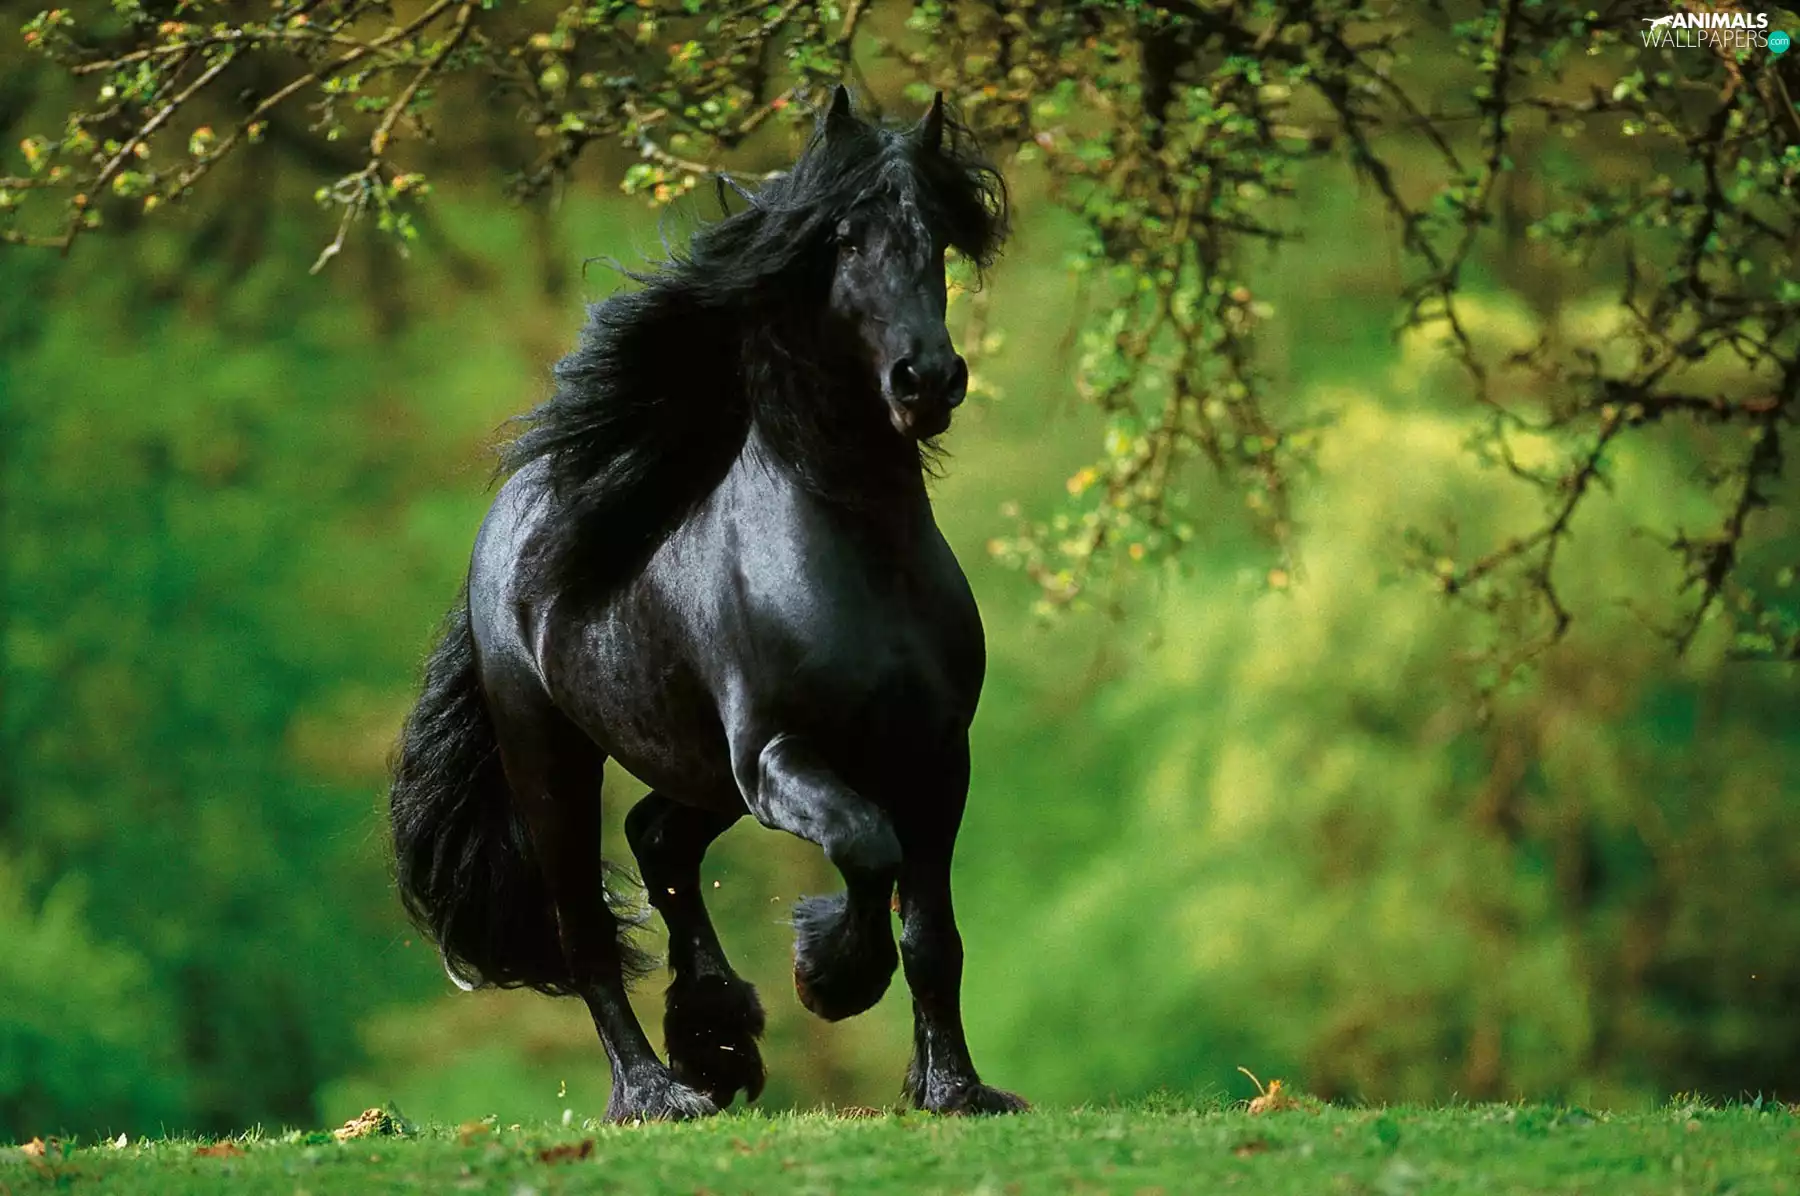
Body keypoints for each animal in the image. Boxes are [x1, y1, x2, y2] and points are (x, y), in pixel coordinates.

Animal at [388, 85, 1027, 1122]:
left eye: (935, 237)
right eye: (844, 238)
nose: (927, 380)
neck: (856, 557)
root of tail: (508, 522)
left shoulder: (936, 756)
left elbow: (933, 933)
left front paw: (956, 1089)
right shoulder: (777, 755)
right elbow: (866, 846)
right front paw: (830, 976)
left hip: (696, 772)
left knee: (658, 842)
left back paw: (715, 1036)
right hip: (555, 761)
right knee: (586, 933)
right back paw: (657, 1091)